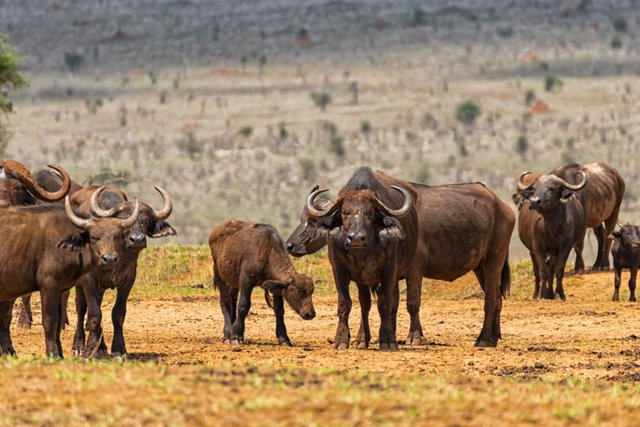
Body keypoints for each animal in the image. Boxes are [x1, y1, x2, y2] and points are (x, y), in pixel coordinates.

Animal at [0, 191, 140, 358]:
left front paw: (60, 354)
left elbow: (59, 322)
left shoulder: (62, 289)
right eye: (94, 237)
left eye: (117, 237)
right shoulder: (49, 286)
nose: (109, 258)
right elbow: (50, 321)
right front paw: (53, 354)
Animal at [516, 171, 588, 300]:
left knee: (551, 268)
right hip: (532, 251)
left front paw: (559, 294)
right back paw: (537, 293)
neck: (551, 228)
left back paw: (550, 293)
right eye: (534, 189)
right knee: (537, 271)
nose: (534, 201)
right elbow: (542, 271)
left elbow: (558, 270)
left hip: (554, 252)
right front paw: (540, 295)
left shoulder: (565, 247)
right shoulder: (537, 247)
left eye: (552, 188)